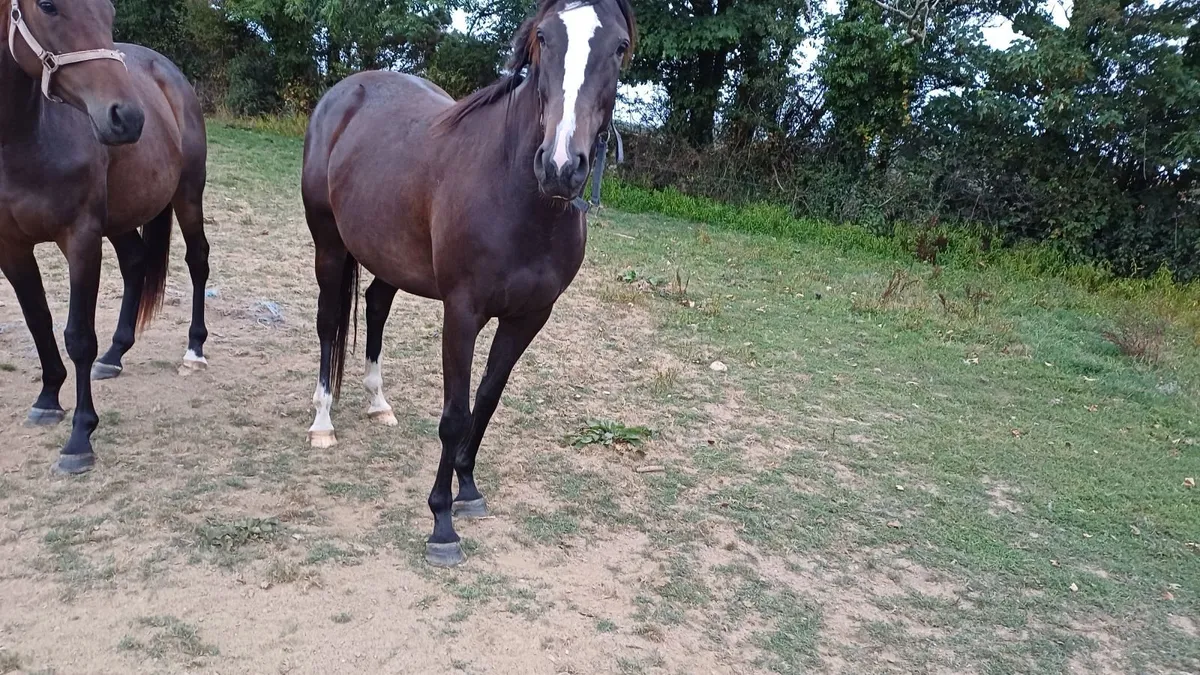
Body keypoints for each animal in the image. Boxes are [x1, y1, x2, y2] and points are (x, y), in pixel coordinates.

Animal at [0, 0, 210, 474]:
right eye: (47, 5)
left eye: (110, 10)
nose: (127, 117)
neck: (22, 140)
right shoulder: (11, 247)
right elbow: (38, 319)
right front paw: (47, 398)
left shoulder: (81, 238)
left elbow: (78, 336)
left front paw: (80, 438)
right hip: (121, 218)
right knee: (135, 262)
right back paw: (114, 355)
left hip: (188, 197)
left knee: (198, 261)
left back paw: (195, 347)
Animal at [302, 0, 636, 567]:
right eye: (543, 38)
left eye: (619, 46)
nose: (560, 167)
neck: (517, 195)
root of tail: (343, 94)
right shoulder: (461, 313)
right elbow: (455, 414)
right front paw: (441, 523)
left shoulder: (528, 318)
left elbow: (487, 399)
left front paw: (469, 488)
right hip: (329, 247)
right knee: (329, 323)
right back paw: (323, 423)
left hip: (389, 258)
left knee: (374, 308)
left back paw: (378, 403)